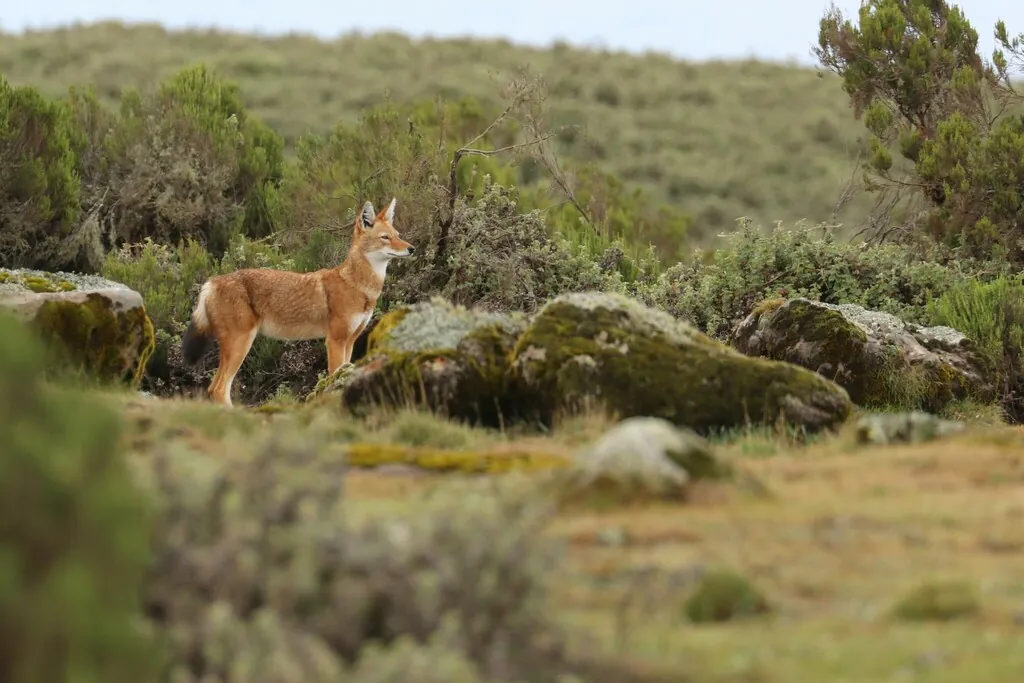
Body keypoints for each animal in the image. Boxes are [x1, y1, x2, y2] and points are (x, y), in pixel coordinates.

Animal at [181, 197, 414, 406]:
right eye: (385, 237)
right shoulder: (335, 341)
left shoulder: (350, 341)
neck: (358, 286)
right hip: (241, 344)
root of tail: (212, 281)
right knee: (219, 390)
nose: (412, 248)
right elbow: (332, 380)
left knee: (214, 389)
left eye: (397, 235)